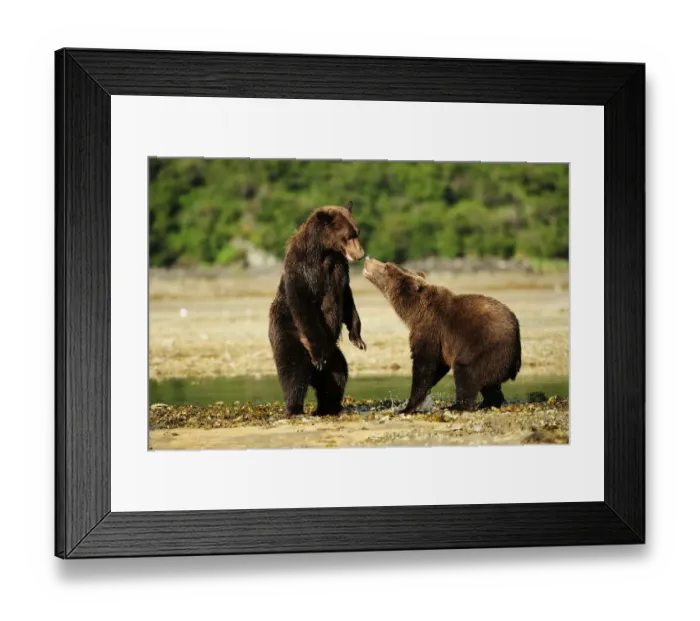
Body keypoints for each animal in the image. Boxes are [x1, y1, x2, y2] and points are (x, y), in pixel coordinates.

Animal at [269, 201, 366, 416]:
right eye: (349, 236)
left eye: (357, 232)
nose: (361, 255)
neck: (324, 251)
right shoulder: (303, 268)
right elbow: (305, 305)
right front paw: (319, 356)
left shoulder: (339, 268)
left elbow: (347, 299)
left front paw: (357, 338)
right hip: (288, 333)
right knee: (293, 372)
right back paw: (295, 407)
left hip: (334, 354)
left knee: (336, 377)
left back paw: (328, 407)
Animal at [362, 257, 521, 413]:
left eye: (386, 266)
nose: (369, 259)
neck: (412, 312)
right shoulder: (441, 344)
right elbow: (436, 368)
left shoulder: (431, 329)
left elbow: (424, 366)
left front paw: (407, 406)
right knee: (489, 385)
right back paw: (487, 403)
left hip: (485, 349)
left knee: (466, 373)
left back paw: (456, 406)